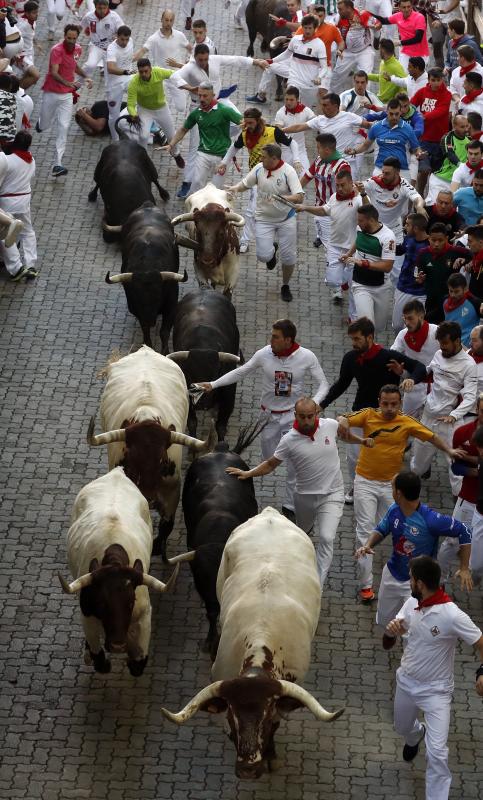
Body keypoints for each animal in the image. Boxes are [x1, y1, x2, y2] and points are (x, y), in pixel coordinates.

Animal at [105, 205, 190, 352]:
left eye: (158, 296)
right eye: (137, 296)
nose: (149, 320)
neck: (147, 265)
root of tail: (147, 205)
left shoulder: (171, 304)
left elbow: (164, 331)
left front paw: (165, 352)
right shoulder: (135, 308)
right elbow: (145, 331)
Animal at [163, 510, 344, 780]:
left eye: (266, 720)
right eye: (232, 718)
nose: (248, 769)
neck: (262, 633)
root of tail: (270, 513)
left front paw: (271, 756)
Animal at [172, 288, 244, 438]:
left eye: (216, 373)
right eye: (189, 372)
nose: (201, 403)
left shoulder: (229, 397)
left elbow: (221, 426)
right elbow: (191, 422)